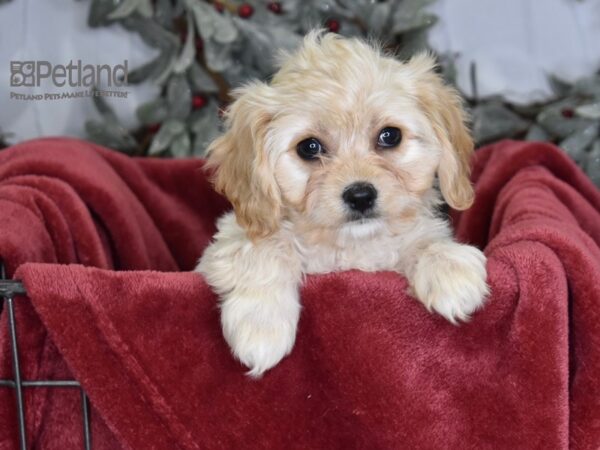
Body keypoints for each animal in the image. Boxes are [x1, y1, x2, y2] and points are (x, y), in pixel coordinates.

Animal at [197, 30, 488, 376]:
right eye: (309, 147)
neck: (350, 246)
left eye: (390, 136)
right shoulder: (229, 240)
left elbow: (424, 239)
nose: (360, 195)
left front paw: (448, 267)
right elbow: (264, 249)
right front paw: (261, 325)